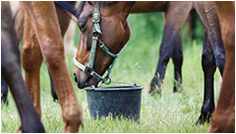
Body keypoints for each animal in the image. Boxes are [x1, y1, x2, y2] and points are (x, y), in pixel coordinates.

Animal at [74, 1, 225, 124]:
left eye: (81, 25)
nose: (75, 75)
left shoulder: (187, 8)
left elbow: (219, 56)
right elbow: (207, 60)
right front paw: (204, 114)